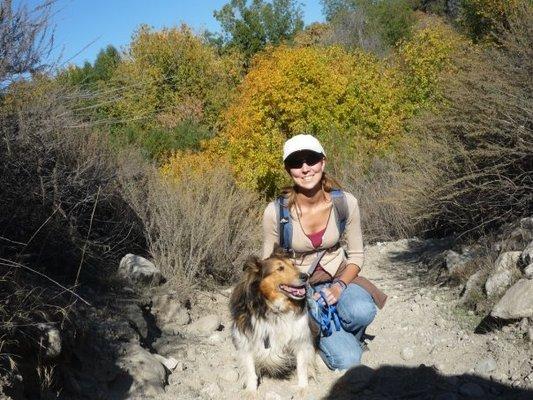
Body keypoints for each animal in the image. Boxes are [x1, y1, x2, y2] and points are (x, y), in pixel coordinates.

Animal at [230, 245, 314, 396]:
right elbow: (250, 369)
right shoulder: (246, 340)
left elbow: (302, 366)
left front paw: (302, 387)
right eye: (280, 268)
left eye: (293, 265)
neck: (276, 310)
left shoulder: (301, 338)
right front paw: (251, 390)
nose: (305, 276)